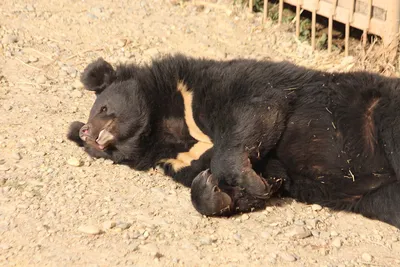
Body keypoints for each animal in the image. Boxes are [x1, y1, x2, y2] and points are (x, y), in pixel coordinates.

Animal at [70, 54, 400, 230]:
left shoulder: (221, 83)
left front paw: (248, 180)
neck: (167, 127)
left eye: (102, 108)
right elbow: (255, 184)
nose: (85, 132)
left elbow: (257, 108)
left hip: (378, 111)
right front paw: (217, 188)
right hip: (378, 196)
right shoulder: (186, 157)